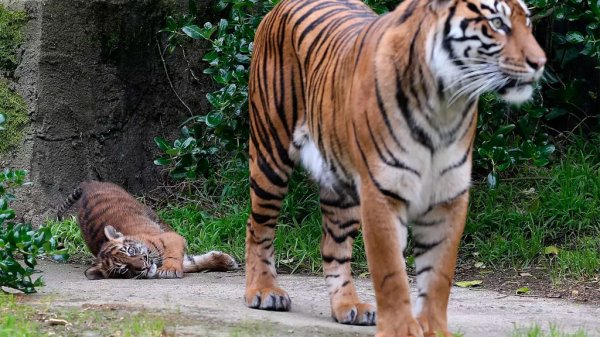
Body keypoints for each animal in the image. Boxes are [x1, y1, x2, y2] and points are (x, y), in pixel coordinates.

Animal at [244, 0, 544, 334]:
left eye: (527, 22)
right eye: (497, 23)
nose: (540, 62)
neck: (444, 106)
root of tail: (277, 8)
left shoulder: (448, 197)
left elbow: (438, 275)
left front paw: (434, 329)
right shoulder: (382, 192)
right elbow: (391, 273)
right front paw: (401, 329)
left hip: (341, 189)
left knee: (333, 246)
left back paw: (348, 306)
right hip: (270, 154)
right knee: (258, 226)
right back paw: (263, 291)